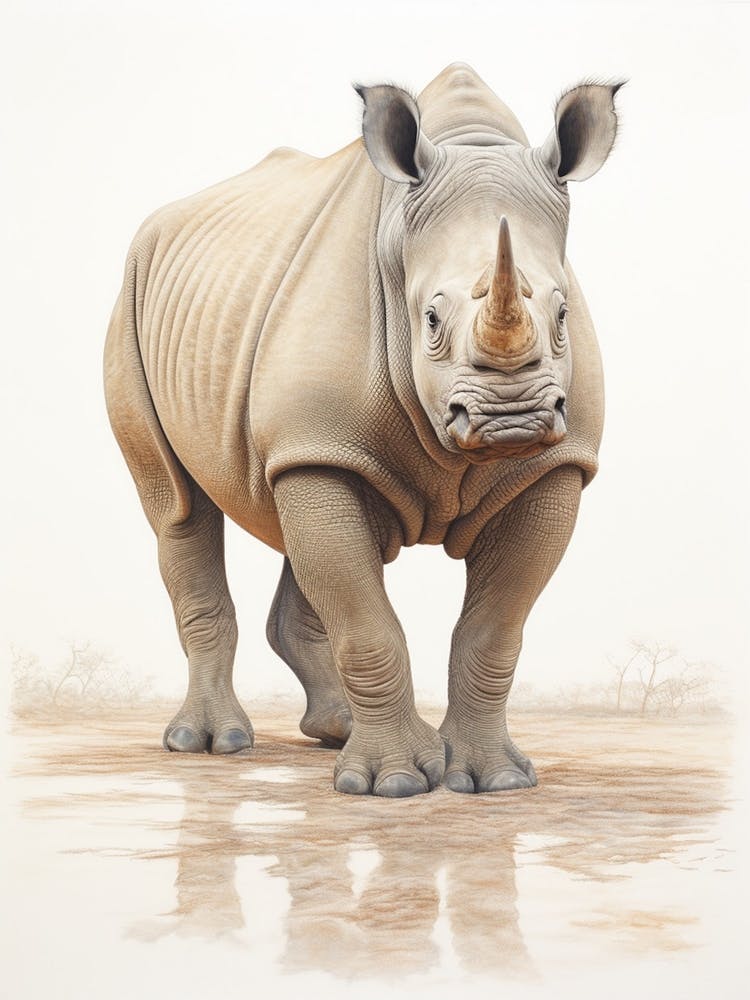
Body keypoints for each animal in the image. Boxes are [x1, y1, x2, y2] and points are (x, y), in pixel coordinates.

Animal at [104, 63, 622, 797]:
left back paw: (334, 732)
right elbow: (366, 620)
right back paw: (210, 743)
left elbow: (493, 630)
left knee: (296, 518)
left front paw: (495, 780)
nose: (512, 419)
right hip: (130, 299)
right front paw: (393, 785)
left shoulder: (554, 464)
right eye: (430, 320)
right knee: (179, 507)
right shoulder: (318, 444)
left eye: (562, 314)